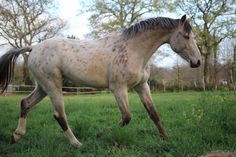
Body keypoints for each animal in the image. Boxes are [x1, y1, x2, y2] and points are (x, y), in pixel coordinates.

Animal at [0, 14, 201, 147]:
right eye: (186, 36)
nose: (198, 62)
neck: (133, 50)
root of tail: (33, 48)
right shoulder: (119, 88)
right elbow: (127, 117)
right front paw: (99, 135)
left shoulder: (142, 86)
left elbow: (153, 114)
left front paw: (167, 138)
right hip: (53, 85)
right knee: (59, 115)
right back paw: (77, 144)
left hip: (42, 87)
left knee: (25, 103)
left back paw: (15, 136)